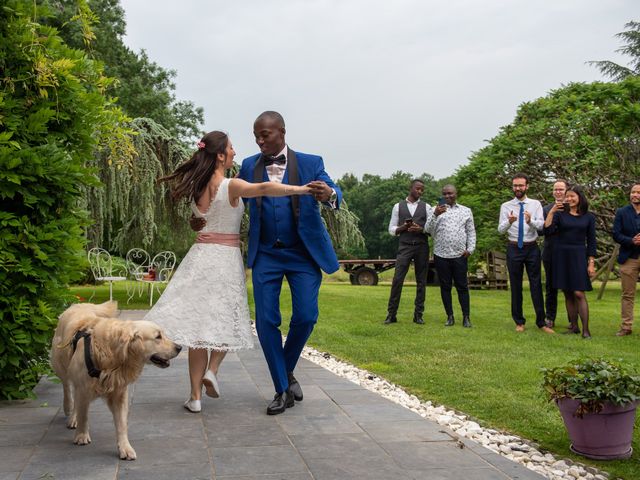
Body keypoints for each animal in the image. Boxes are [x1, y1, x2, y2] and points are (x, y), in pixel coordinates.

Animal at [49, 300, 180, 462]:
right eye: (158, 337)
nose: (180, 347)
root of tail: (80, 304)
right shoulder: (83, 388)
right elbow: (84, 415)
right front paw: (81, 435)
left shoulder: (119, 392)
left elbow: (122, 423)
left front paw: (125, 448)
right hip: (60, 364)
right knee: (67, 387)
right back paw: (69, 410)